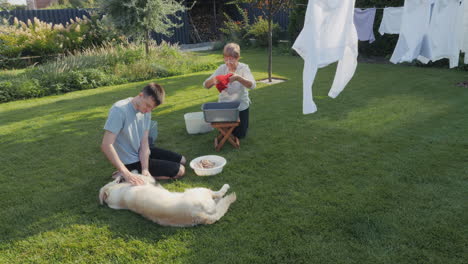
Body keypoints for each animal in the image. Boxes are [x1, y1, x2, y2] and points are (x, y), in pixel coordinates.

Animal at [99, 173, 238, 227]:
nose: (120, 175)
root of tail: (198, 215)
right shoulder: (143, 181)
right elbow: (143, 176)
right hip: (200, 190)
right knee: (218, 194)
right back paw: (225, 188)